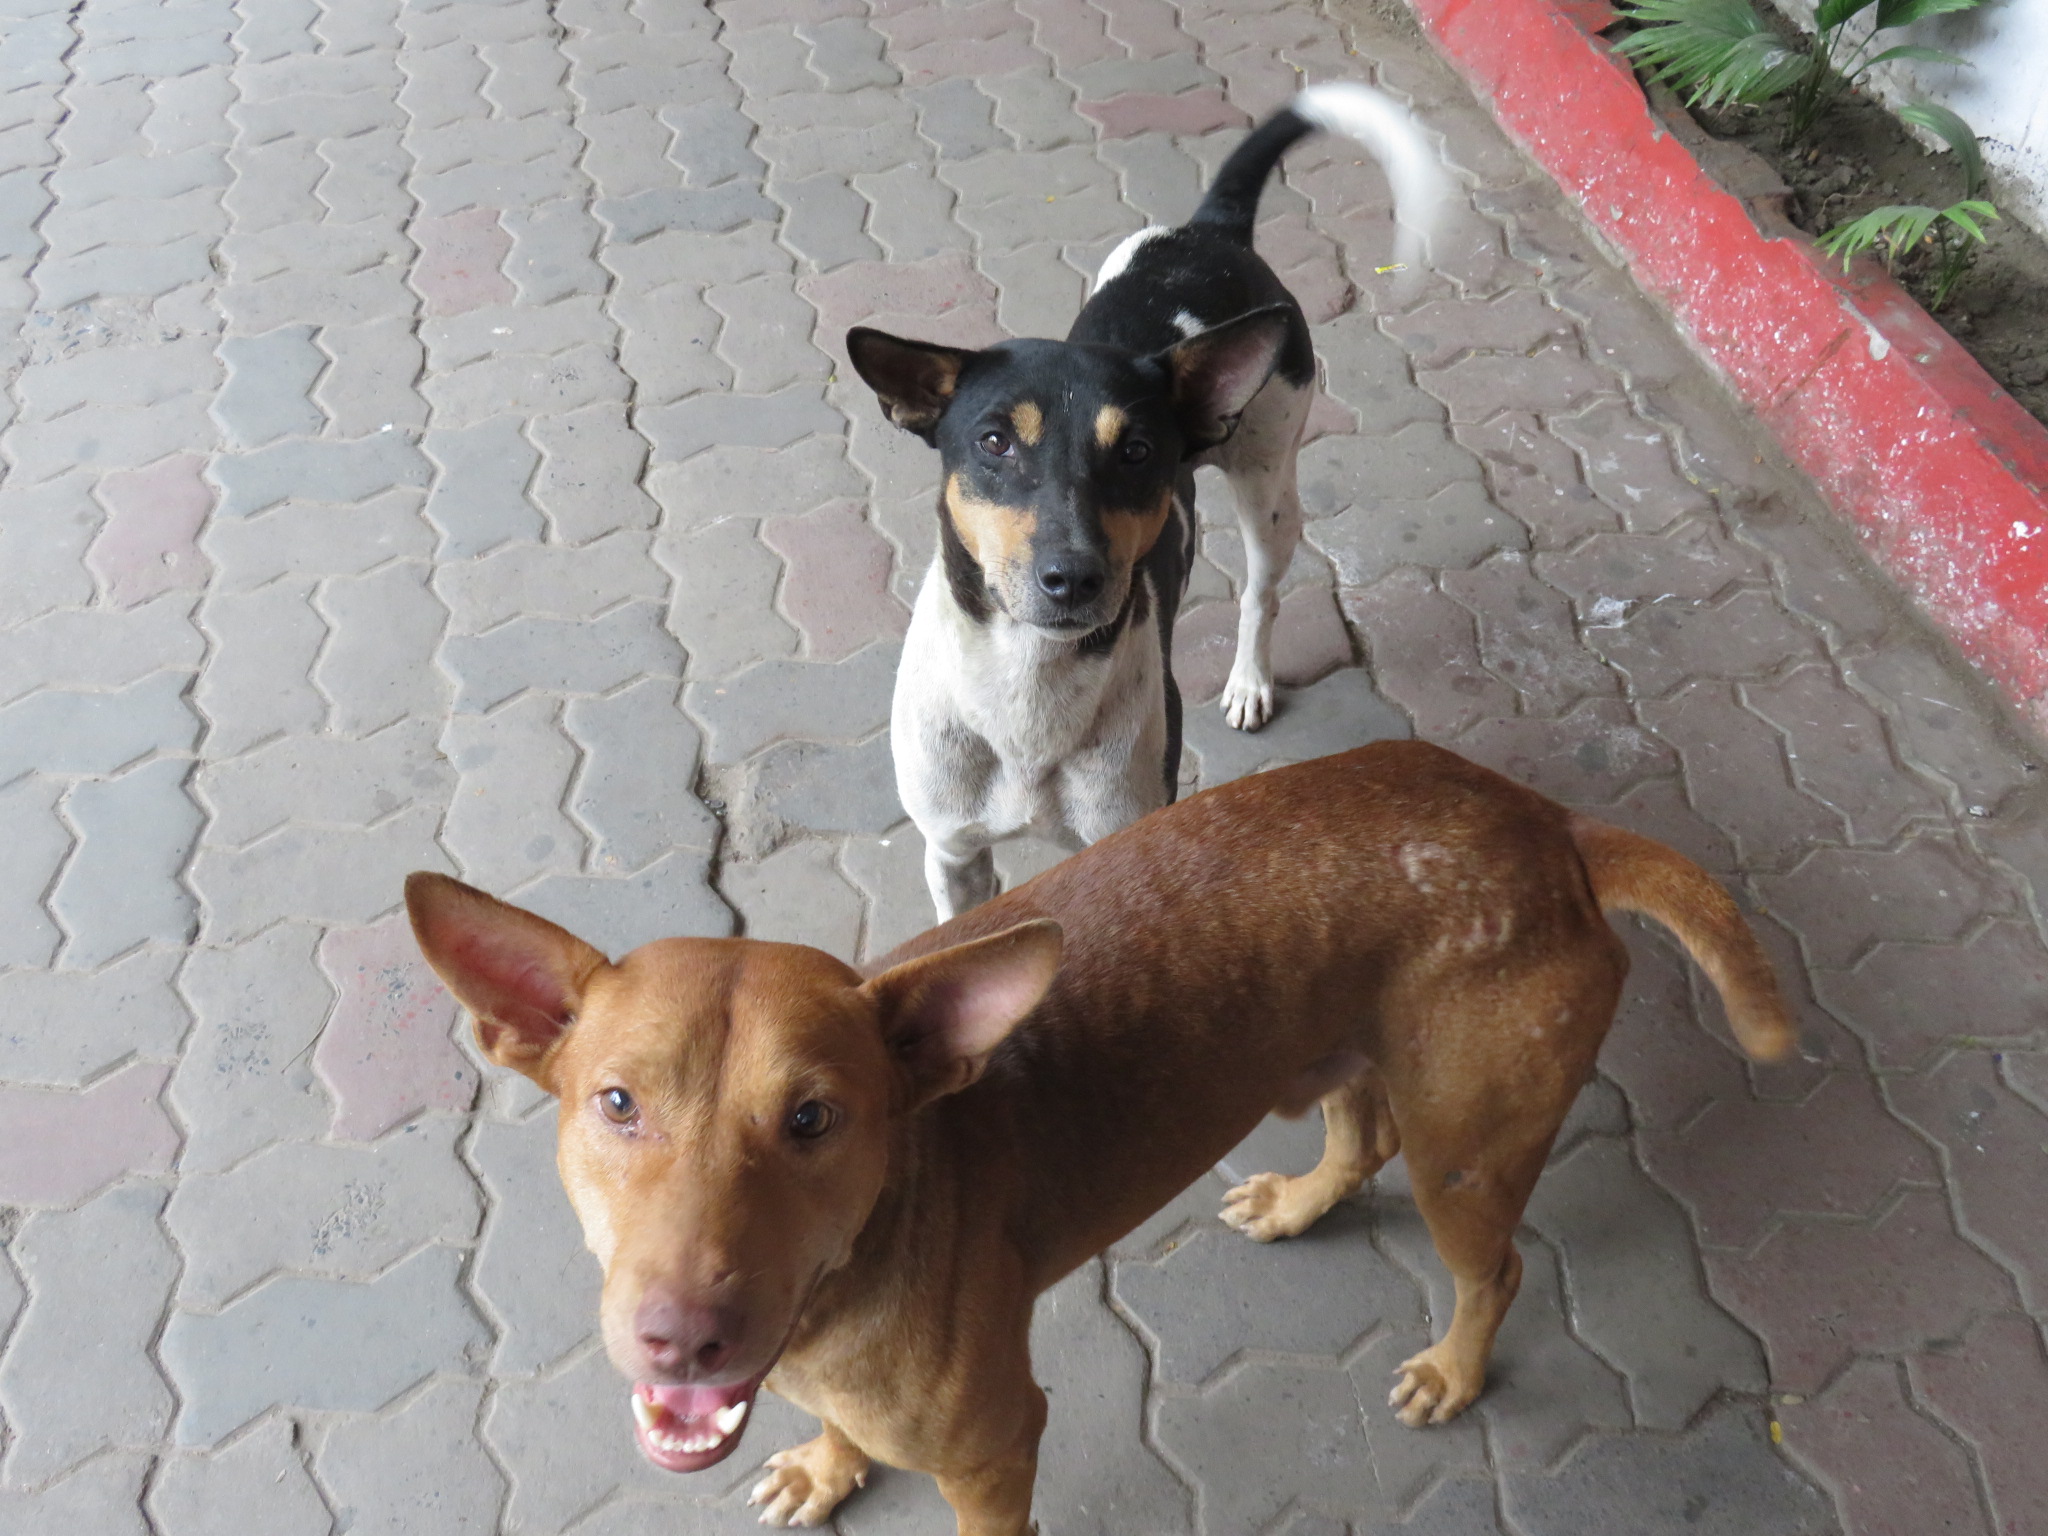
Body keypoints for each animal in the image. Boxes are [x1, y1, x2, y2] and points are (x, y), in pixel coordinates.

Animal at [403, 741, 1794, 1531]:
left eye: (813, 1119)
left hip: (1469, 1148)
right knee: (1359, 1139)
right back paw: (1303, 1200)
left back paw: (1453, 1369)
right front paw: (829, 1463)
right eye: (616, 1103)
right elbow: (836, 1429)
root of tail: (1542, 822)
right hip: (1338, 1046)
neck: (841, 1291)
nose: (680, 1335)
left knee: (1490, 1264)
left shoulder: (995, 1449)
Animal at [847, 83, 1458, 921]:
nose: (1072, 578)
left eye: (1137, 452)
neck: (1029, 687)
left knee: (1261, 594)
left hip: (1271, 484)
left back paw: (1249, 681)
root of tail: (1211, 229)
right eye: (994, 442)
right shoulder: (953, 852)